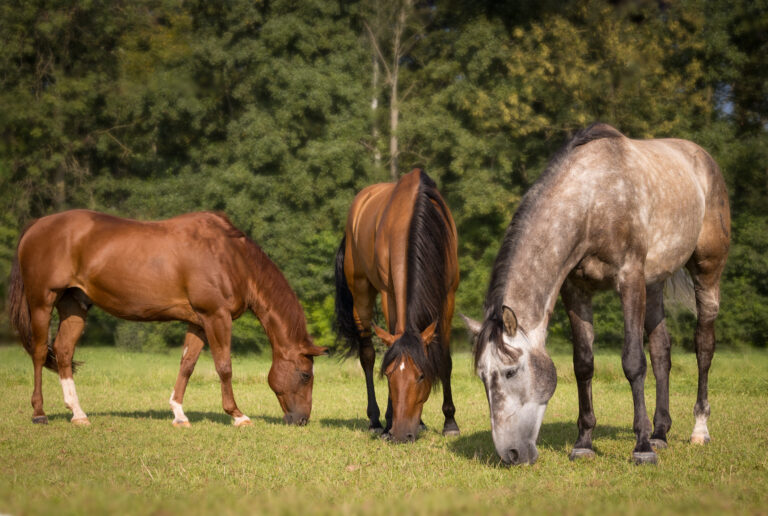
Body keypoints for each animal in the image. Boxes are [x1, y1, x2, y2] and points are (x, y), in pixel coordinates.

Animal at [9, 209, 328, 427]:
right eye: (305, 374)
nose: (301, 419)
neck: (231, 257)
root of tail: (36, 225)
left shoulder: (198, 322)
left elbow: (187, 366)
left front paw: (179, 413)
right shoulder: (216, 317)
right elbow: (224, 367)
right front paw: (237, 415)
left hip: (74, 306)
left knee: (63, 352)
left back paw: (78, 414)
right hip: (42, 302)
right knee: (40, 353)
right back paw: (39, 413)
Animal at [334, 168, 460, 442]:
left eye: (421, 376)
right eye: (389, 375)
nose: (401, 434)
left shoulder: (448, 295)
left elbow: (445, 359)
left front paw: (450, 422)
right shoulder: (388, 293)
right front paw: (389, 420)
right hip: (361, 293)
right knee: (367, 355)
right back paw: (375, 421)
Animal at [462, 123, 730, 465]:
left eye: (510, 373)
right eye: (483, 377)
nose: (511, 454)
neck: (593, 202)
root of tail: (704, 159)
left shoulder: (630, 280)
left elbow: (633, 362)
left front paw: (641, 447)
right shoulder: (577, 290)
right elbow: (584, 363)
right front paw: (584, 442)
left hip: (707, 270)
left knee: (704, 347)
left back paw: (698, 430)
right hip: (654, 282)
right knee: (661, 352)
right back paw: (660, 433)